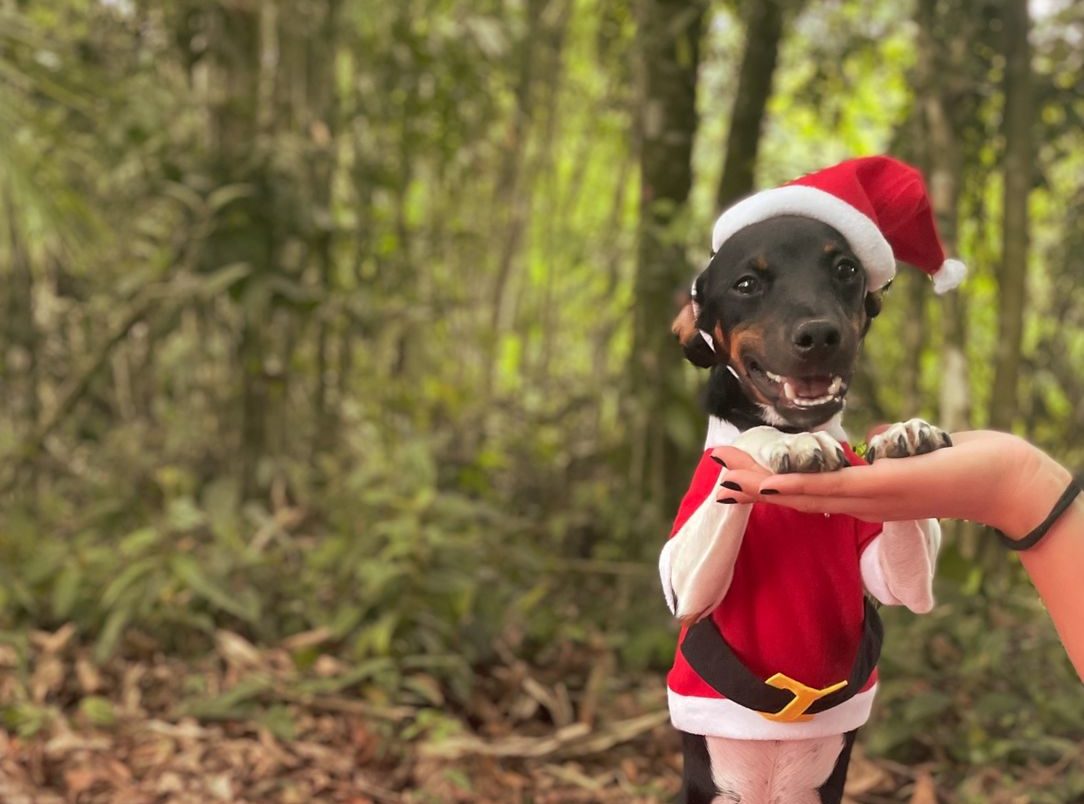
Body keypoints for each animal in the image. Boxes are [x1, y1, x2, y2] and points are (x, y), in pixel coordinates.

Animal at [659, 211, 958, 801]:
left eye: (845, 269)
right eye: (746, 283)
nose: (820, 335)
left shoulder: (898, 579)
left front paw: (902, 433)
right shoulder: (686, 584)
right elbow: (747, 445)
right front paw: (785, 447)